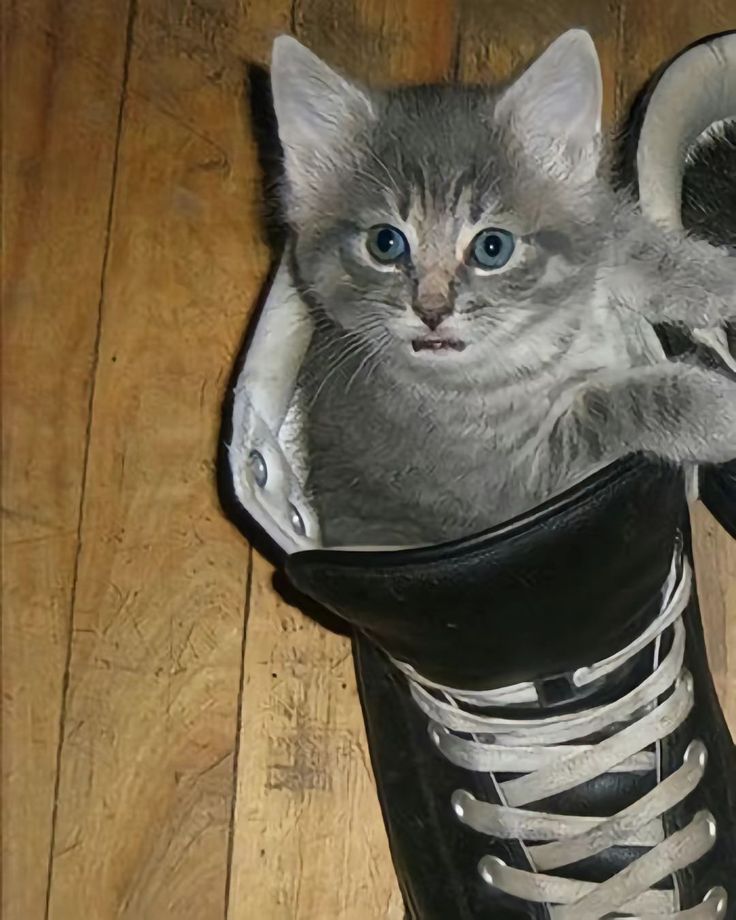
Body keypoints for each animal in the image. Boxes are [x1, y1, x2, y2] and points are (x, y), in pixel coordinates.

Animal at [268, 28, 736, 548]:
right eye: (385, 243)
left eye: (492, 247)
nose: (432, 310)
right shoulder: (518, 484)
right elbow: (606, 406)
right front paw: (714, 408)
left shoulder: (594, 217)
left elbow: (636, 245)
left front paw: (718, 277)